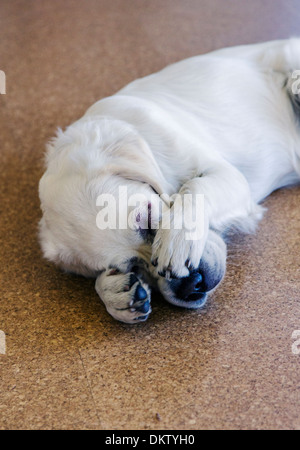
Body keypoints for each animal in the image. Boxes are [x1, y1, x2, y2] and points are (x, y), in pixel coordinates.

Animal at [39, 39, 300, 324]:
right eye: (132, 265)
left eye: (148, 222)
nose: (190, 285)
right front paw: (113, 293)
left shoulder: (227, 174)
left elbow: (195, 187)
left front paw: (178, 235)